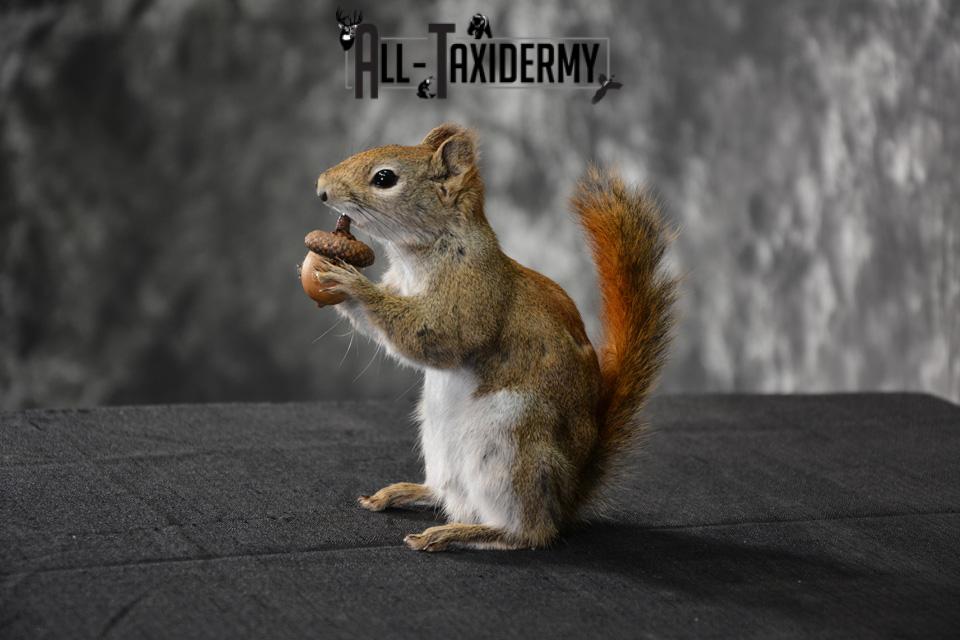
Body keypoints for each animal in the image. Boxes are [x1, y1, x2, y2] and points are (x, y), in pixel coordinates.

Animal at [311, 123, 676, 551]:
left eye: (385, 178)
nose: (320, 188)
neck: (421, 253)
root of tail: (567, 499)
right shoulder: (400, 284)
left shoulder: (474, 293)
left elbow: (436, 334)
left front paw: (352, 284)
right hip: (437, 437)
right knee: (447, 492)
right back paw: (405, 493)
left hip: (509, 447)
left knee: (529, 531)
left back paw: (455, 533)